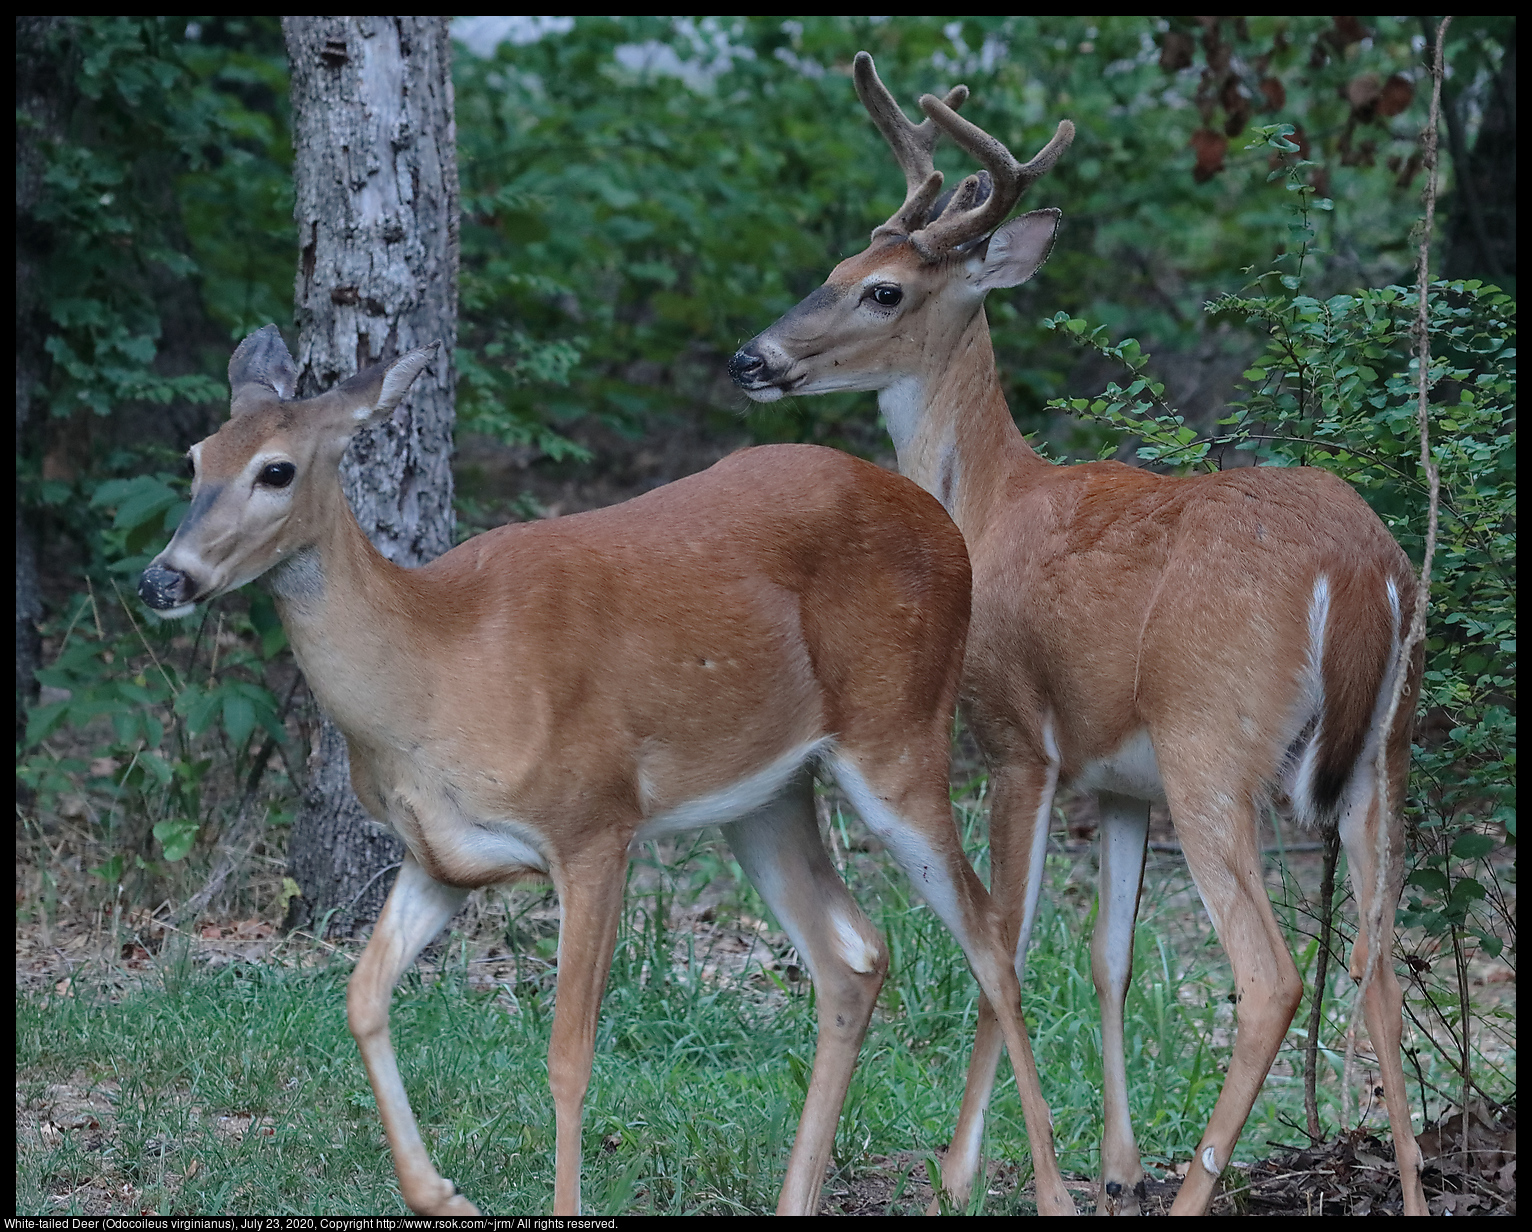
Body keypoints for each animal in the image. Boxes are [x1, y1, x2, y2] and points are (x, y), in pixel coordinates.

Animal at [140, 321, 1078, 1219]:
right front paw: (440, 1192)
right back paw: (801, 1197)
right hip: (768, 796)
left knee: (992, 936)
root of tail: (946, 527)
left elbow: (568, 1058)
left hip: (900, 737)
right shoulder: (438, 855)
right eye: (194, 458)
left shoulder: (594, 823)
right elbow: (363, 996)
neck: (437, 668)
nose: (163, 578)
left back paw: (1048, 1191)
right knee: (854, 953)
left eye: (276, 469)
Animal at [735, 50, 1427, 1219]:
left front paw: (964, 1168)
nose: (753, 355)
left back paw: (1196, 1191)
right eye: (836, 263)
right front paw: (1116, 1162)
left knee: (1271, 974)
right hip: (1382, 755)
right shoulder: (1115, 776)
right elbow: (1110, 954)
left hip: (1213, 739)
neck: (985, 503)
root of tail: (1362, 571)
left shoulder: (1019, 739)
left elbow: (1005, 940)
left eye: (885, 289)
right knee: (1373, 963)